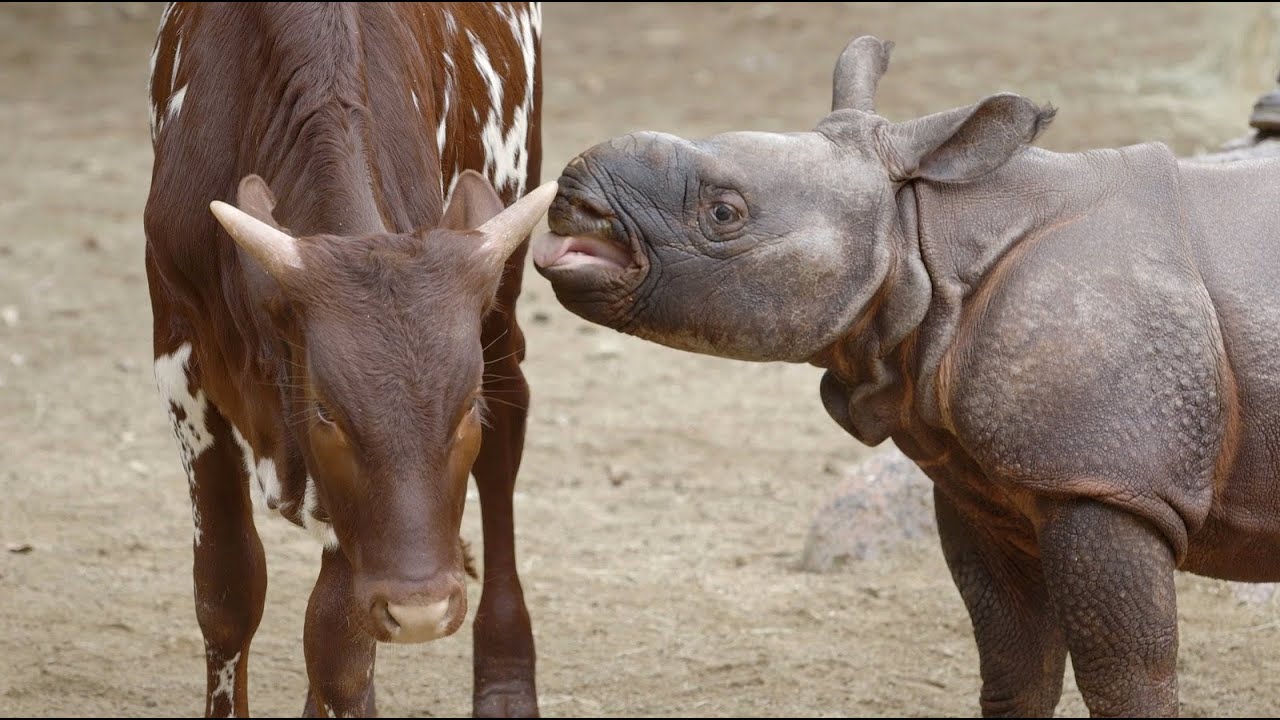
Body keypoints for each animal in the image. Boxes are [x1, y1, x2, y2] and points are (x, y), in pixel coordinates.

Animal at [531, 35, 1280, 717]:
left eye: (723, 212)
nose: (571, 195)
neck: (925, 236)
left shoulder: (1103, 480)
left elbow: (1124, 677)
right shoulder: (983, 484)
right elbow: (1014, 663)